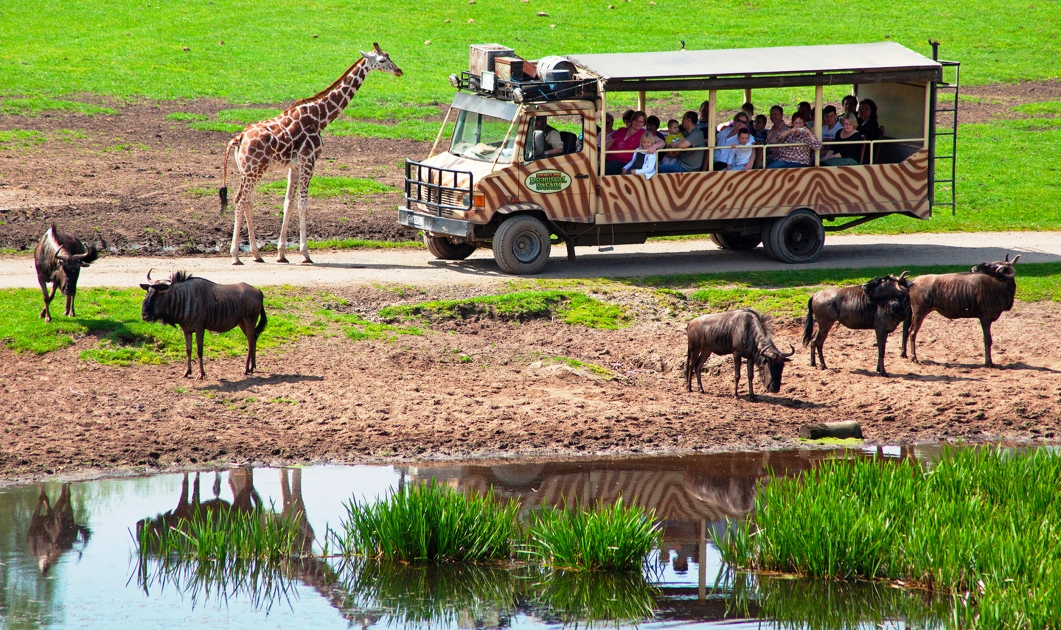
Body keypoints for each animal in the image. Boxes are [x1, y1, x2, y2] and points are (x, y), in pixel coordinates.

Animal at [219, 41, 401, 261]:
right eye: (382, 60)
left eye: (389, 56)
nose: (399, 70)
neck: (320, 117)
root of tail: (239, 139)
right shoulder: (309, 160)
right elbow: (302, 206)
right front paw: (305, 253)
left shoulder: (295, 166)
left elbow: (288, 204)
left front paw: (281, 254)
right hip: (254, 170)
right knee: (240, 200)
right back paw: (236, 256)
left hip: (248, 171)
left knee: (247, 202)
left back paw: (256, 254)